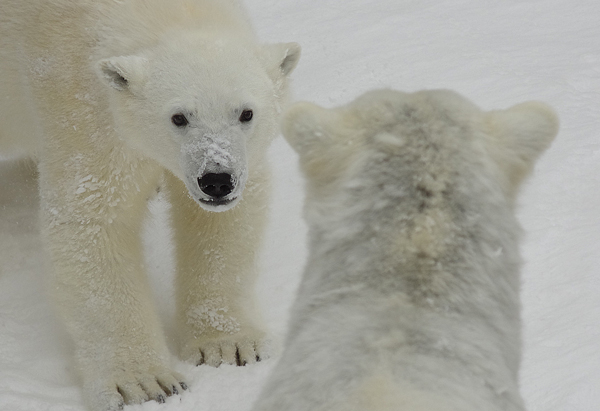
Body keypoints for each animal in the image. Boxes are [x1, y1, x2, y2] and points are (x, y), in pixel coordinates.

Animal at [0, 0, 300, 410]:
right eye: (179, 117)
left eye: (246, 113)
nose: (217, 180)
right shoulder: (80, 103)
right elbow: (94, 220)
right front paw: (144, 383)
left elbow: (220, 225)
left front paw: (229, 346)